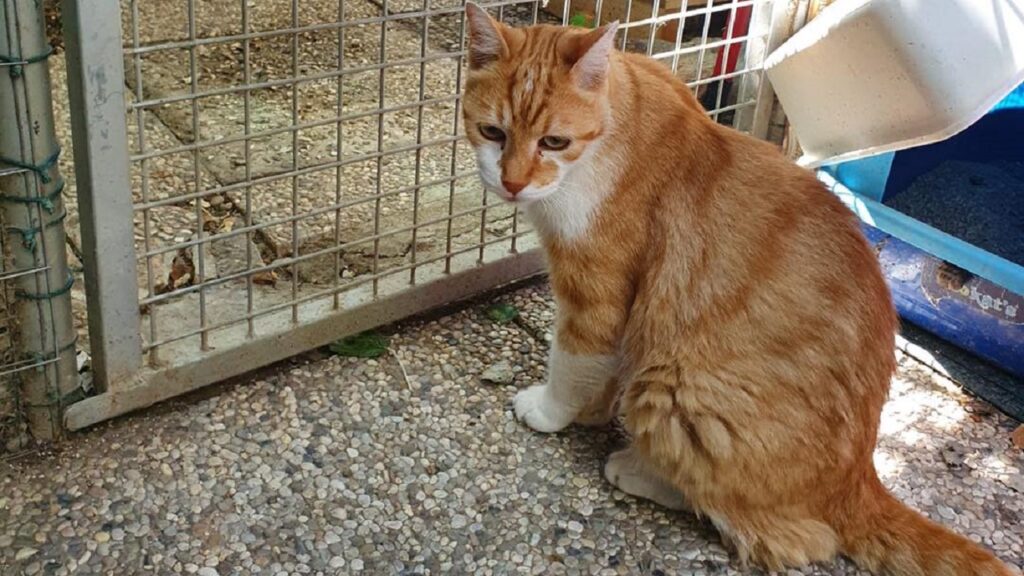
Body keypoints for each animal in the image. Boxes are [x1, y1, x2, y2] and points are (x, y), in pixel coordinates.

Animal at [462, 4, 1015, 573]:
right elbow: (604, 372)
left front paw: (551, 412)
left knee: (779, 531)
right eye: (492, 131)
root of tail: (858, 479)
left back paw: (635, 469)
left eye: (554, 142)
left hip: (674, 390)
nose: (512, 184)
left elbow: (571, 364)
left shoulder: (595, 296)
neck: (612, 134)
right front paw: (592, 413)